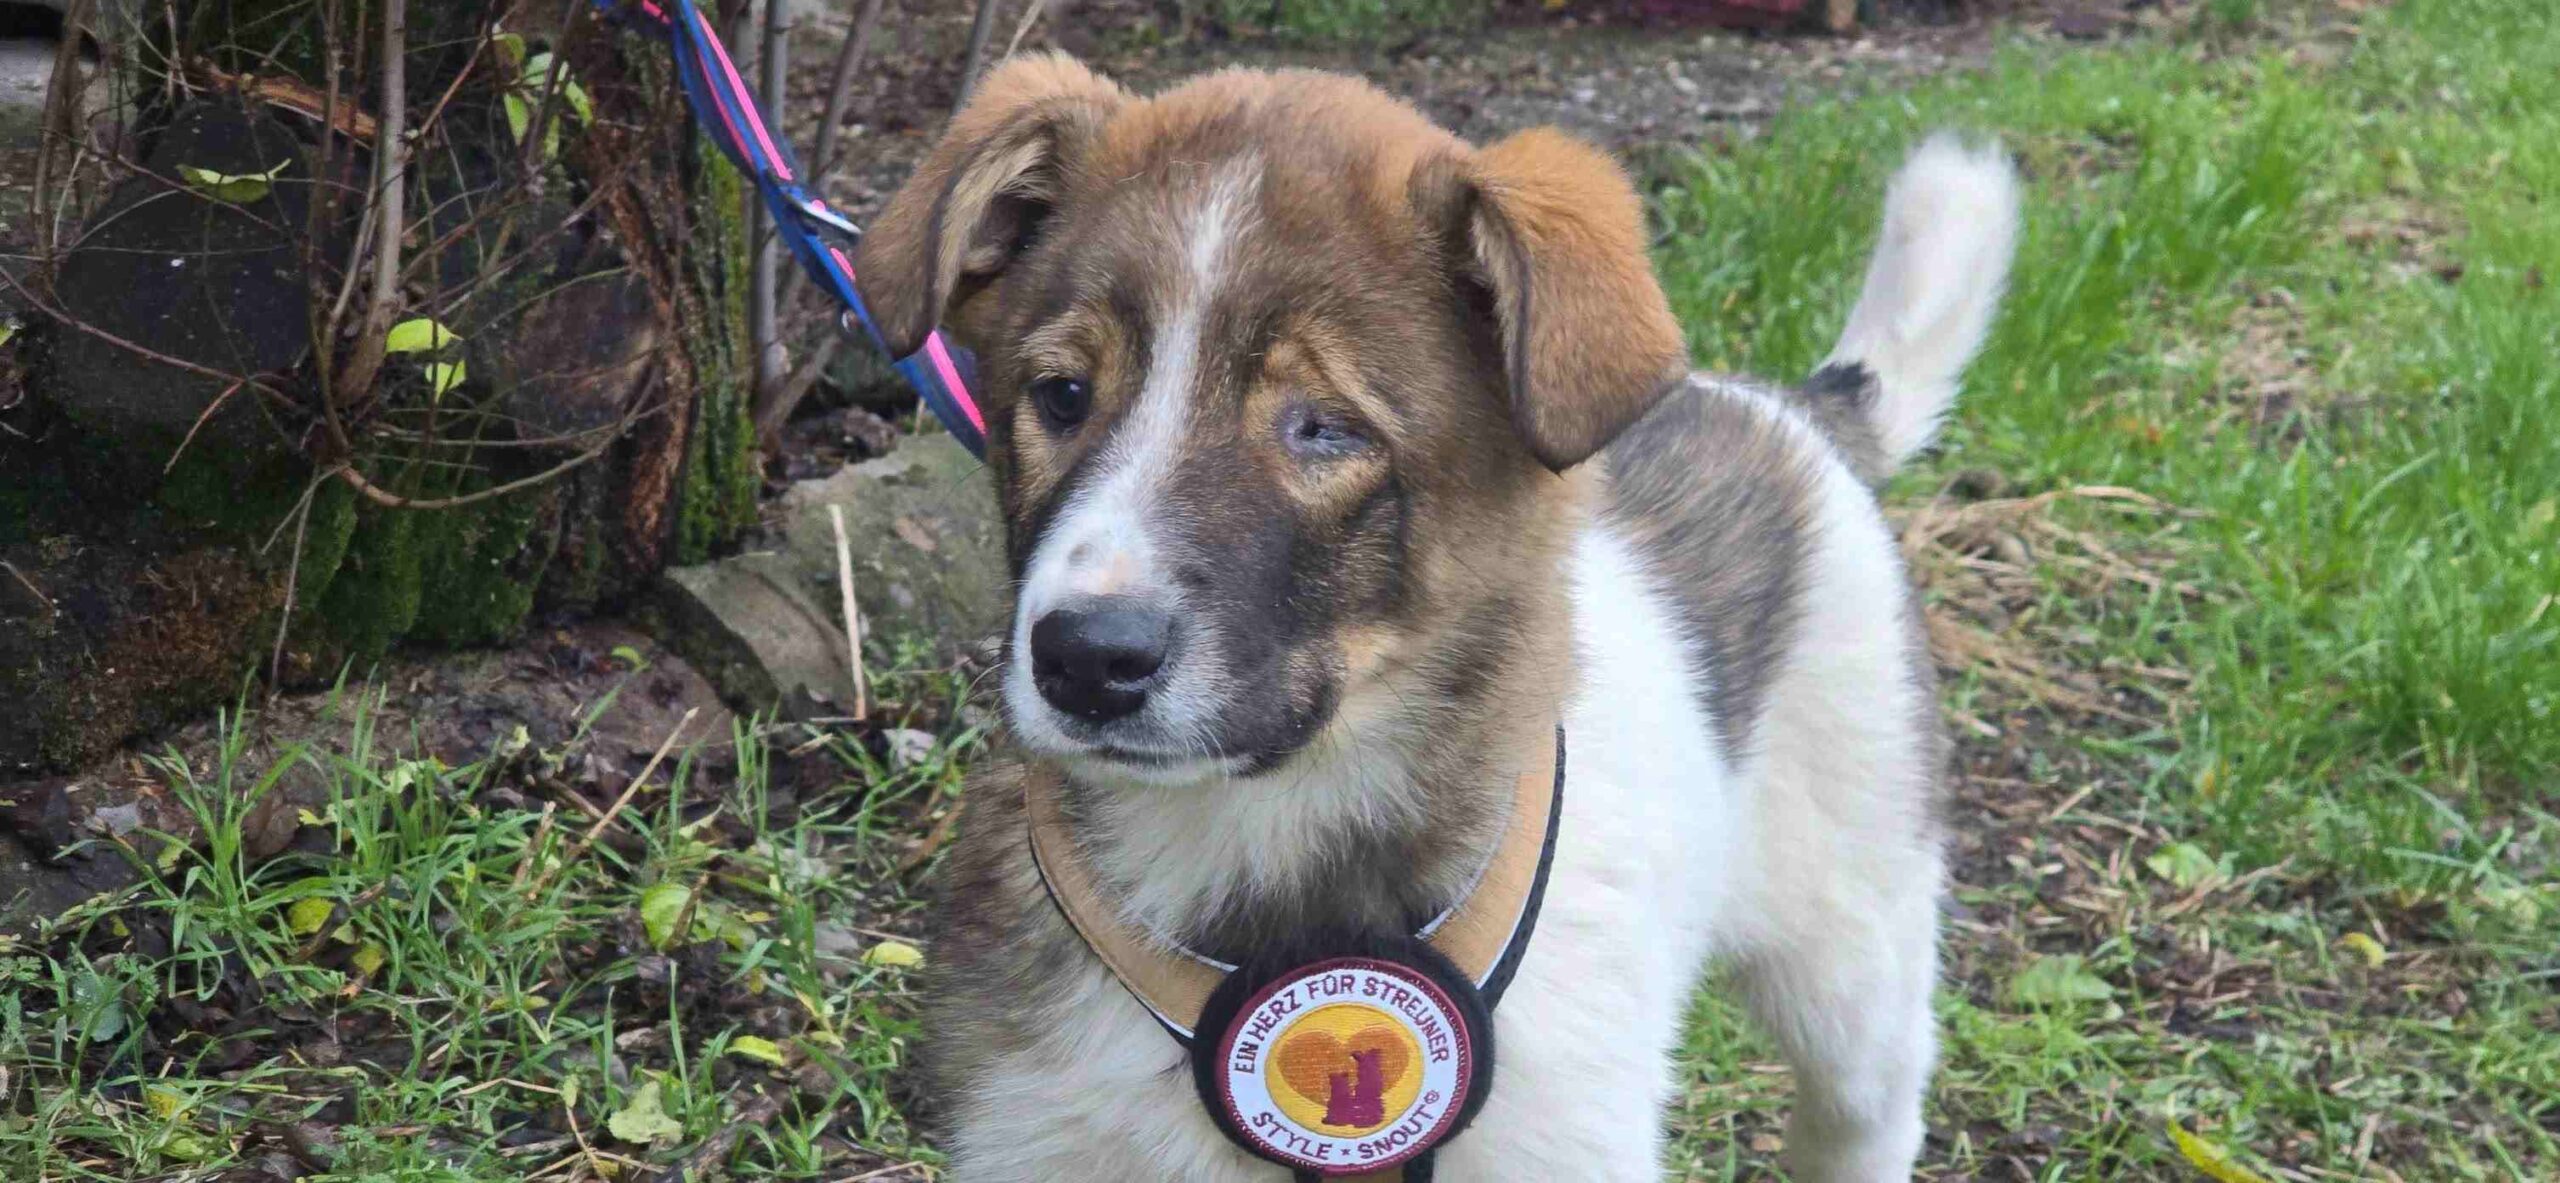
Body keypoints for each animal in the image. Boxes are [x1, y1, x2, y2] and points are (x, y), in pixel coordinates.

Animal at [854, 53, 2019, 1182]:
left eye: (1321, 427)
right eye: (1061, 395)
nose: (1086, 660)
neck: (1260, 842)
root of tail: (1794, 409)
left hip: (1856, 947)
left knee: (1865, 1112)